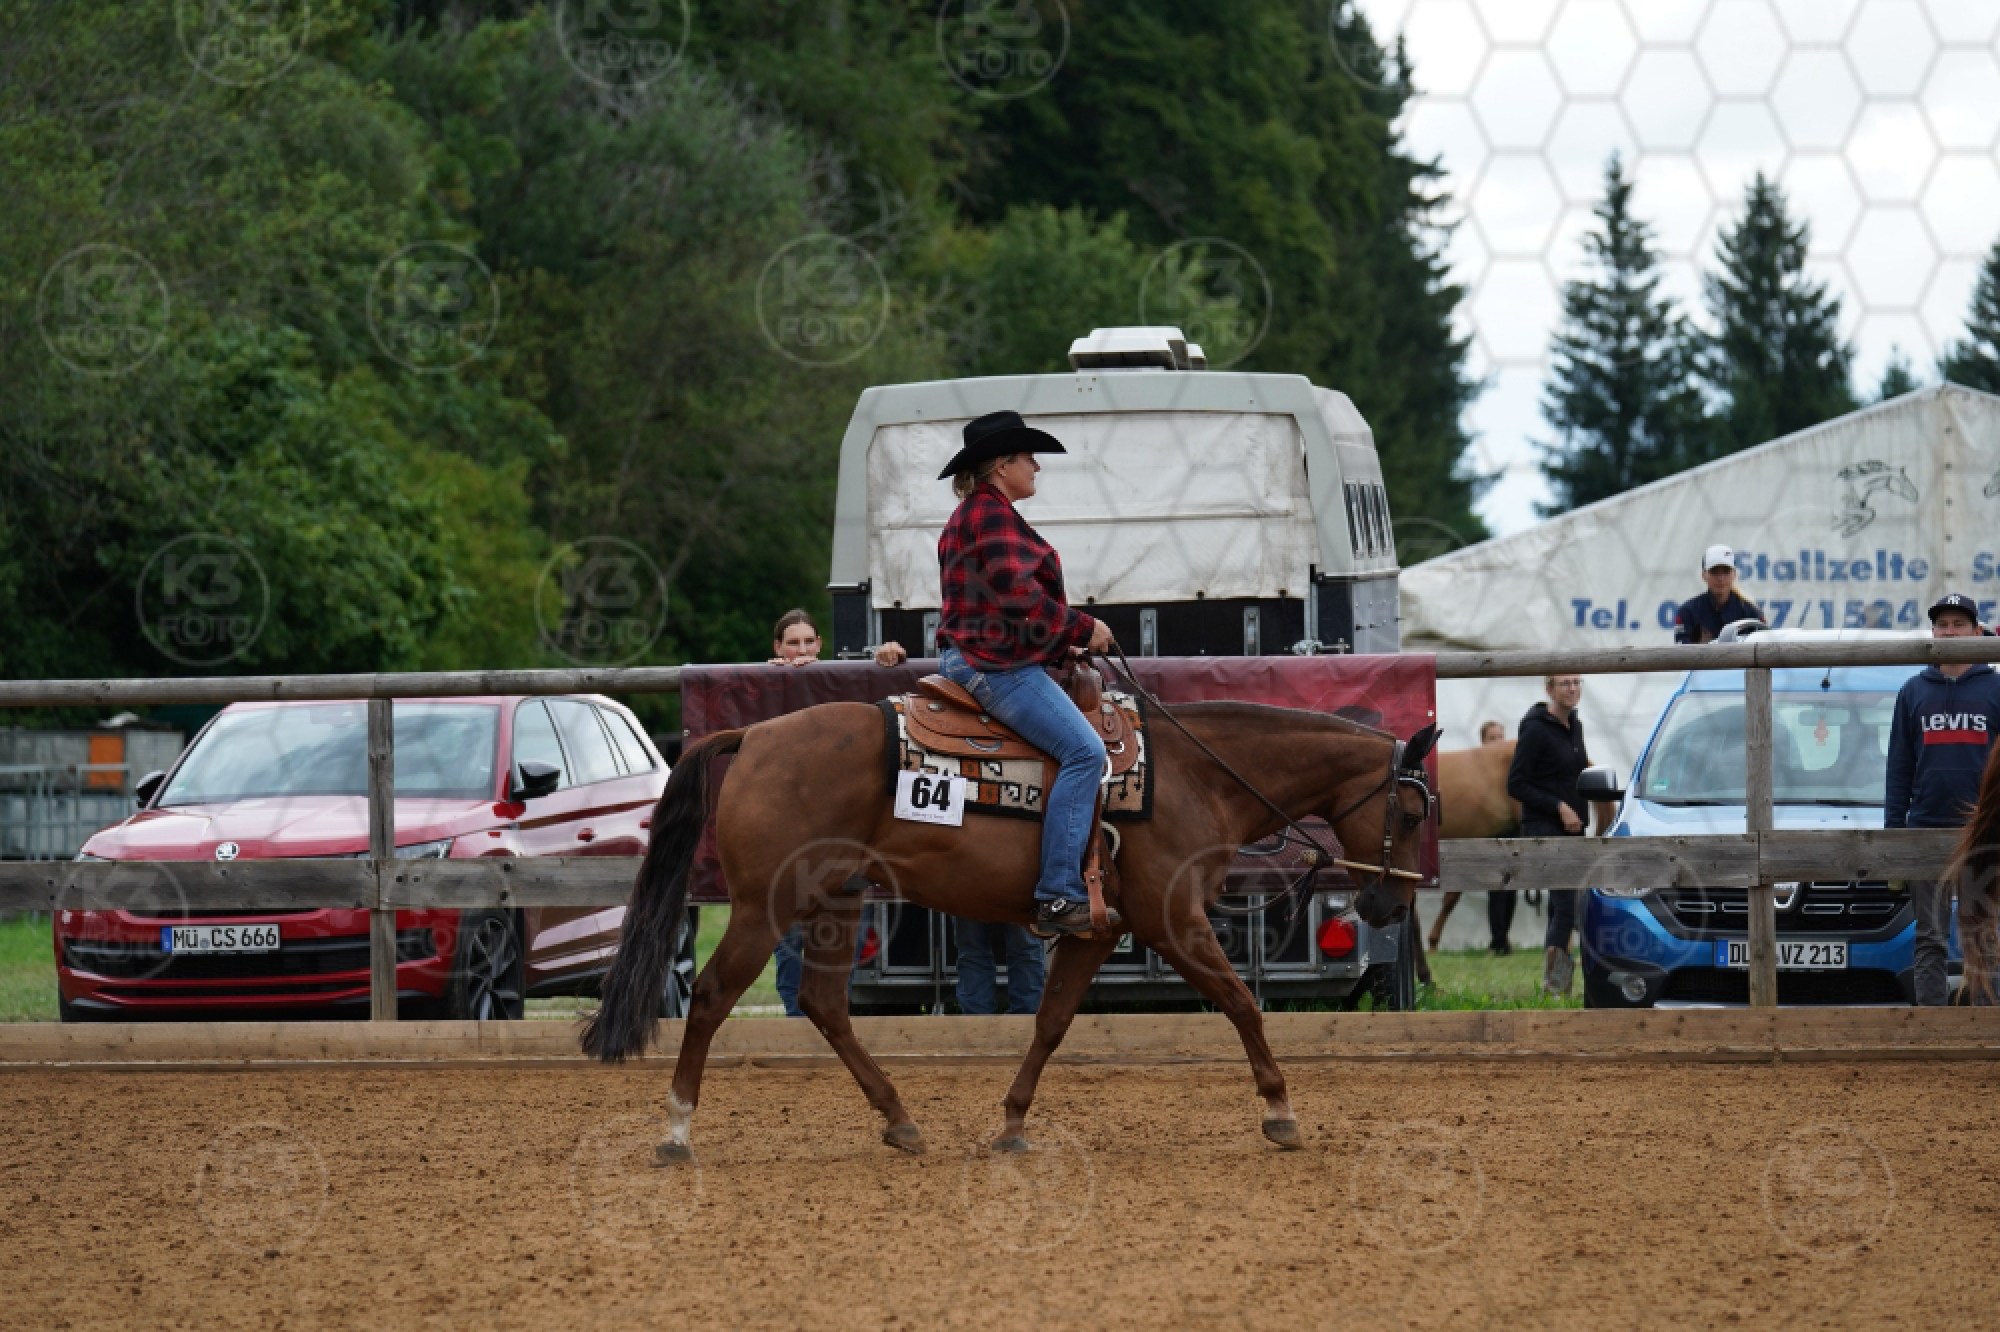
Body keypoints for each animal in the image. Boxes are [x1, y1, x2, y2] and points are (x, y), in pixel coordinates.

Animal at [580, 696, 1439, 1160]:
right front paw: (1281, 1112)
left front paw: (1011, 1123)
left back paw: (901, 1121)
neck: (1196, 777)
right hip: (766, 906)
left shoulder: (1095, 932)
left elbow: (1051, 1023)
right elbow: (1241, 1003)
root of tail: (755, 736)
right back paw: (677, 1130)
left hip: (834, 902)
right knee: (712, 996)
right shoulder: (1175, 920)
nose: (1391, 907)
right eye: (1410, 808)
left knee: (825, 1007)